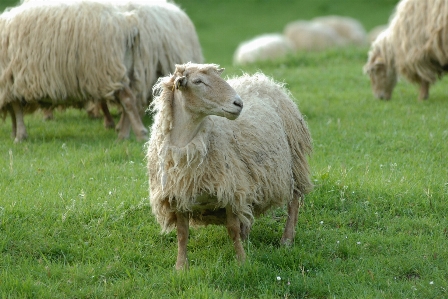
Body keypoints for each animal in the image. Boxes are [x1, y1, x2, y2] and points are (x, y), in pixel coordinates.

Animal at [0, 0, 149, 142]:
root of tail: (128, 24)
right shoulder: (9, 85)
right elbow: (13, 111)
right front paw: (14, 134)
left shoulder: (10, 83)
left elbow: (16, 110)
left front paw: (19, 136)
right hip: (124, 69)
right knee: (131, 99)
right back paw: (124, 134)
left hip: (107, 70)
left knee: (128, 99)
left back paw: (138, 134)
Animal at [146, 62, 312, 270]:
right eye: (198, 81)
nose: (238, 103)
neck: (185, 146)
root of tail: (260, 79)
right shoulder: (178, 195)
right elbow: (182, 234)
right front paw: (180, 267)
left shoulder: (231, 190)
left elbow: (232, 229)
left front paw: (242, 262)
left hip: (294, 163)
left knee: (294, 201)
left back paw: (287, 240)